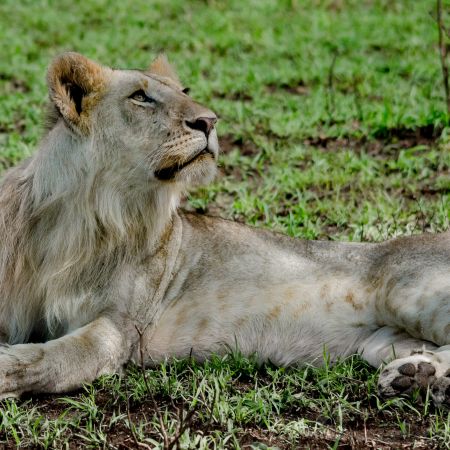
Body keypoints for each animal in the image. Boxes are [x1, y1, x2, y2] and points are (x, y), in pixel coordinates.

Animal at [0, 51, 448, 406]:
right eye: (140, 96)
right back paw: (416, 377)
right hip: (380, 341)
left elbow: (54, 357)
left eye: (183, 90)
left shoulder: (119, 328)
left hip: (406, 292)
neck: (86, 213)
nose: (209, 121)